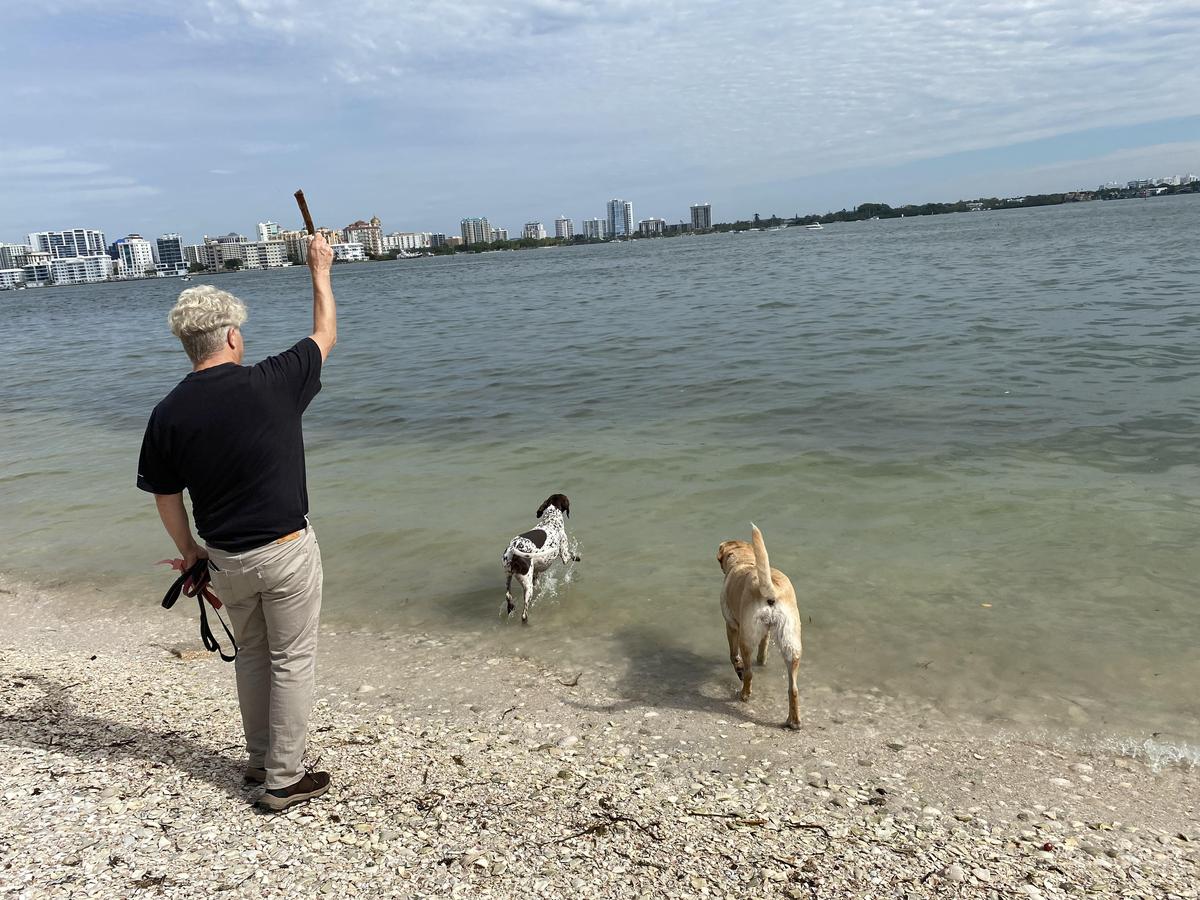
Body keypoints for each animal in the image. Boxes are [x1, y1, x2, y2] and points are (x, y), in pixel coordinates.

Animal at [504, 494, 578, 628]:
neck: (551, 520)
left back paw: (511, 607)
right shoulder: (564, 554)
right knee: (524, 615)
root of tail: (514, 548)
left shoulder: (536, 573)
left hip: (508, 576)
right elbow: (570, 556)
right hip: (527, 588)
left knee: (508, 595)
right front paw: (577, 557)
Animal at [715, 525, 801, 729]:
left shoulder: (731, 625)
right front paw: (762, 661)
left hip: (746, 638)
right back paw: (793, 721)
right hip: (791, 643)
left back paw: (744, 694)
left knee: (749, 673)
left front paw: (737, 667)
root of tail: (772, 591)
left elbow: (733, 655)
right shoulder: (766, 633)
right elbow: (763, 652)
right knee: (793, 689)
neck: (746, 560)